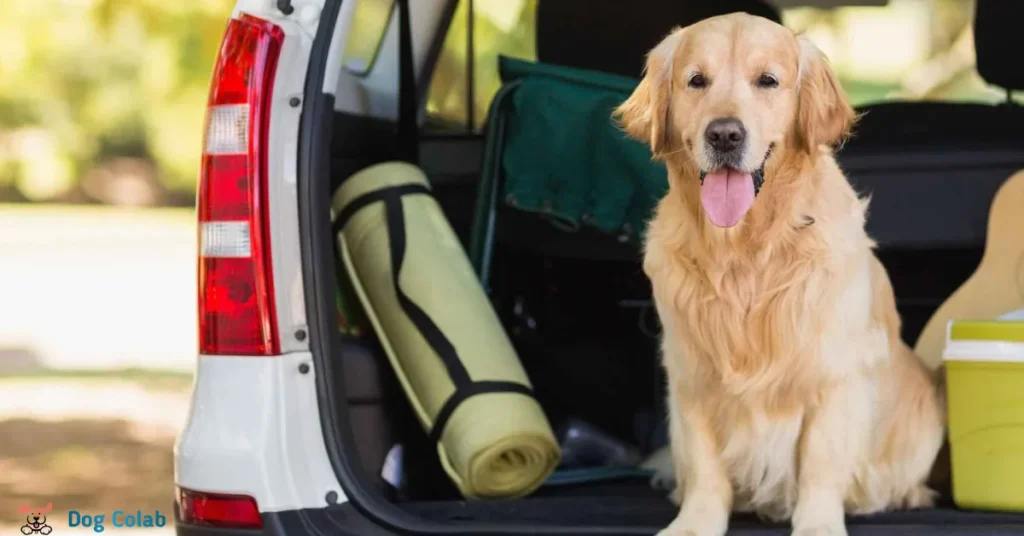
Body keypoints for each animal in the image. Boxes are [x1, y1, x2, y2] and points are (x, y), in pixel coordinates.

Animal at [614, 11, 942, 536]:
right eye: (696, 81)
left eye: (767, 80)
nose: (724, 135)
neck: (745, 252)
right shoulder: (691, 374)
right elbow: (704, 466)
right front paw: (695, 522)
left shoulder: (832, 375)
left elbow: (821, 464)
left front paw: (817, 525)